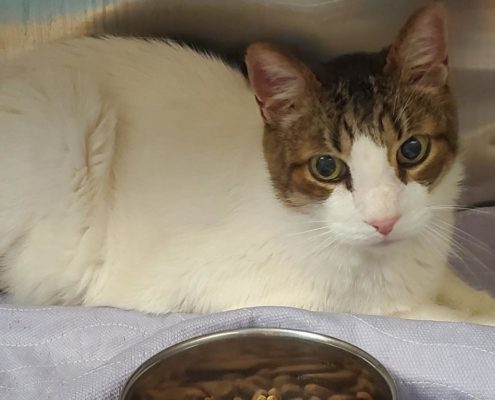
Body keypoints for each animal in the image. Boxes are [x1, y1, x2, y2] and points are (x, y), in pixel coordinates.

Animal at [0, 2, 495, 322]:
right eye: (326, 167)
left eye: (412, 150)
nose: (384, 221)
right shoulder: (245, 292)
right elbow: (428, 317)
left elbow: (456, 292)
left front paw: (479, 302)